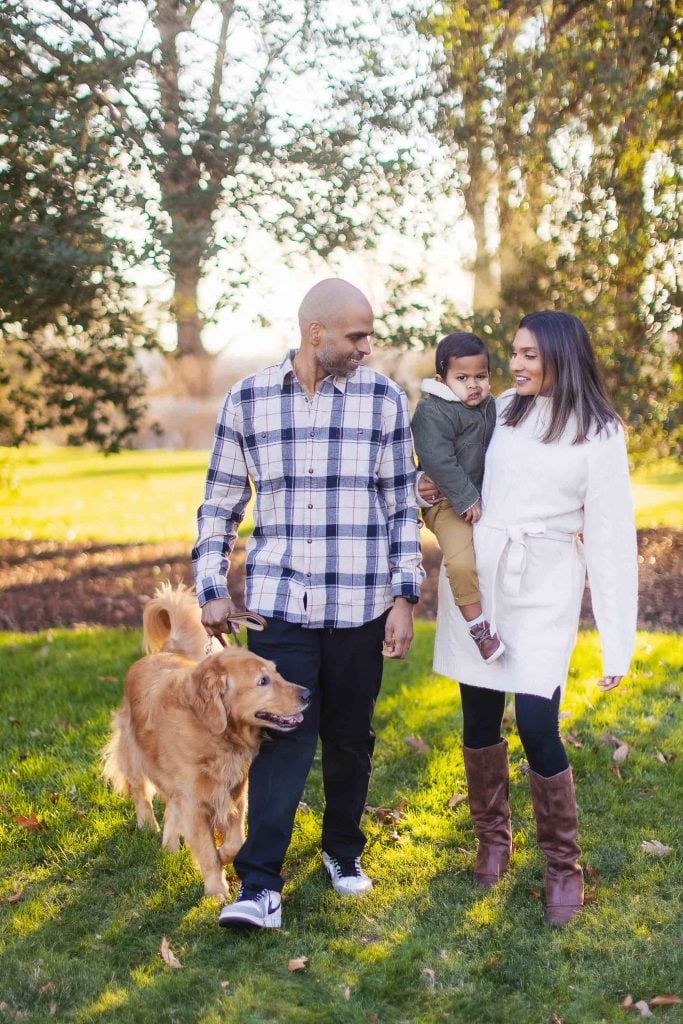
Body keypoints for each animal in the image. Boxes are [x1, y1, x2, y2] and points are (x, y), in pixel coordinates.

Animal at [102, 585, 309, 897]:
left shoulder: (234, 792)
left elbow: (234, 843)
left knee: (171, 809)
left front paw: (225, 856)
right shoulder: (194, 802)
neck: (213, 732)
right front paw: (216, 891)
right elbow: (207, 852)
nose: (308, 694)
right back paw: (148, 825)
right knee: (140, 792)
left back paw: (170, 845)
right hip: (133, 753)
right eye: (262, 681)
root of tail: (167, 651)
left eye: (277, 673)